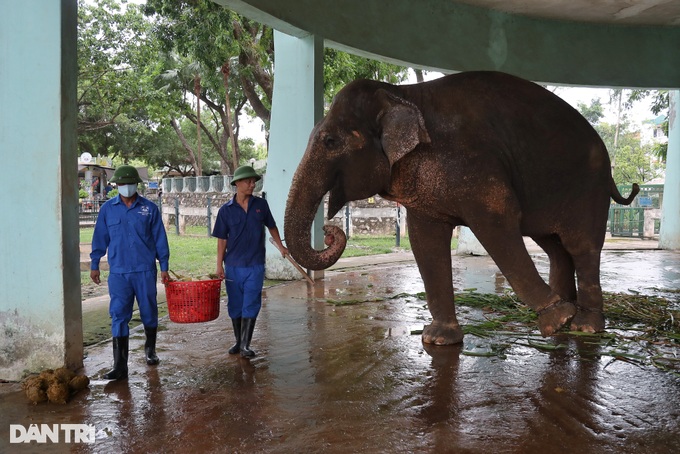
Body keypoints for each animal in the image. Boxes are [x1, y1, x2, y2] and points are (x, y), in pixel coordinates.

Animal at [282, 71, 636, 346]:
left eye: (329, 141)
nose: (329, 231)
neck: (401, 94)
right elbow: (424, 240)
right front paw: (438, 339)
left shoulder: (476, 165)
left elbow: (497, 222)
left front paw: (557, 319)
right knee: (553, 246)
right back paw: (568, 312)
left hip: (587, 188)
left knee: (580, 245)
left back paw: (583, 325)